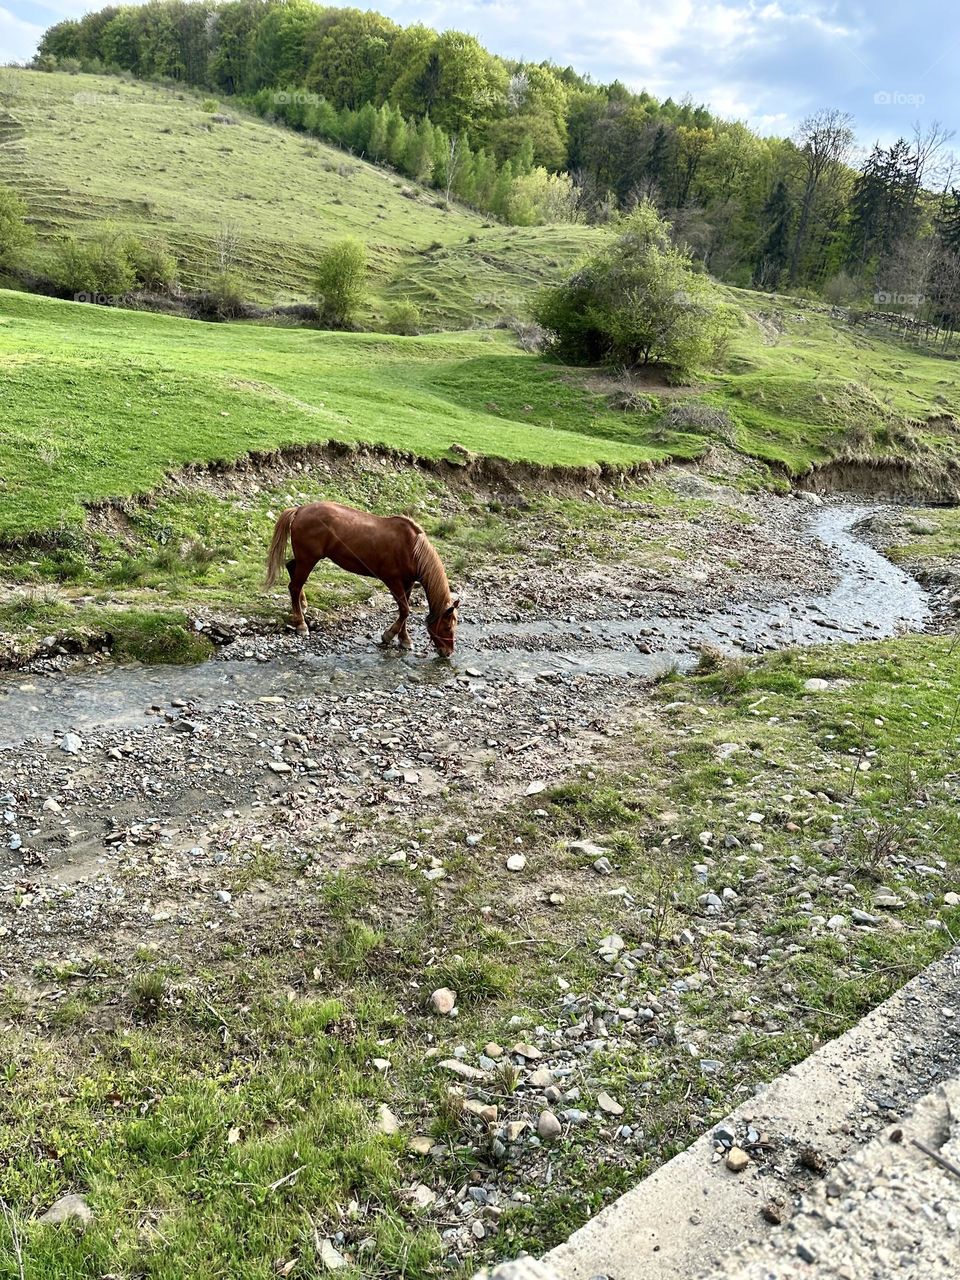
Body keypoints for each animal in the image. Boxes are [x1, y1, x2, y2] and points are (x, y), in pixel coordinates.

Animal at [265, 502, 459, 656]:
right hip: (308, 560)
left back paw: (303, 605)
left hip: (304, 559)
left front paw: (405, 639)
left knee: (292, 570)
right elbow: (405, 610)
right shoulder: (393, 581)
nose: (448, 653)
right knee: (294, 586)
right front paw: (388, 636)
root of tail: (300, 510)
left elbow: (405, 611)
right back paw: (301, 624)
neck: (411, 547)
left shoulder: (408, 583)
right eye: (447, 627)